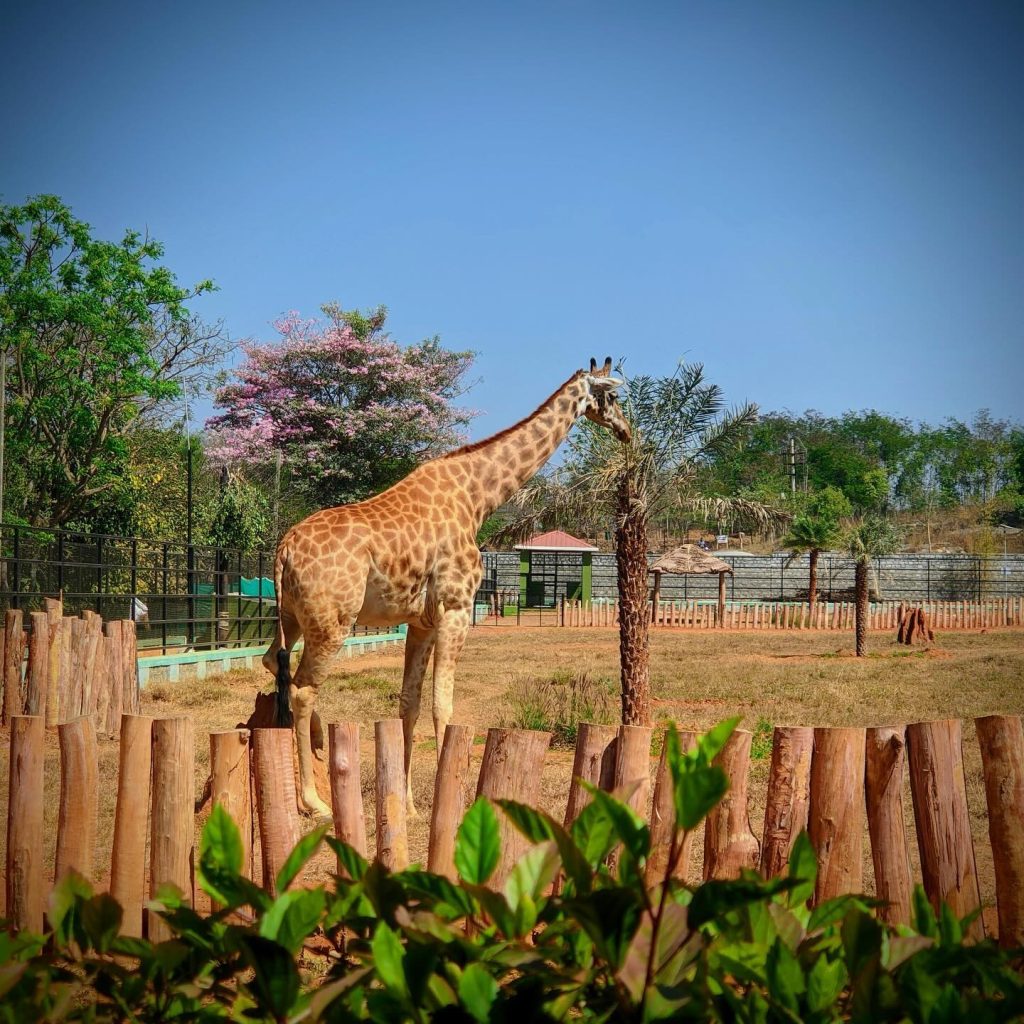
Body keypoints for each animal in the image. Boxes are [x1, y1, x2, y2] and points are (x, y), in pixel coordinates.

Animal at [262, 356, 630, 811]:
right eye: (612, 396)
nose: (626, 430)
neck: (478, 496)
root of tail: (284, 549)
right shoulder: (456, 608)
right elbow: (443, 704)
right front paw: (448, 795)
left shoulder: (420, 621)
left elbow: (410, 703)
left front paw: (407, 803)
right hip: (333, 622)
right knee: (303, 689)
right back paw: (313, 800)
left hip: (292, 618)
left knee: (274, 665)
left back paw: (315, 747)